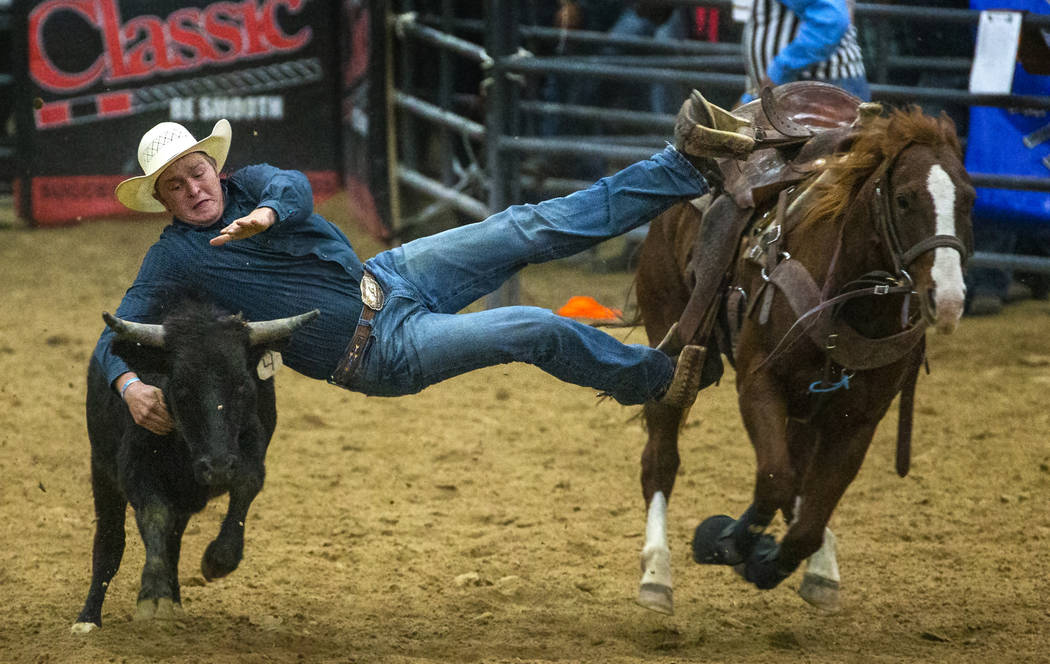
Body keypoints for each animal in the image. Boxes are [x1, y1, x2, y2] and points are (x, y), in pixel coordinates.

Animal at [630, 105, 974, 617]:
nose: (947, 300)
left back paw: (819, 565)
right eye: (905, 199)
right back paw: (656, 574)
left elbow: (810, 511)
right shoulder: (759, 384)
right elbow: (775, 479)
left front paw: (773, 561)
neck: (848, 299)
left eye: (969, 199)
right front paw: (728, 543)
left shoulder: (859, 419)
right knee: (662, 459)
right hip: (670, 338)